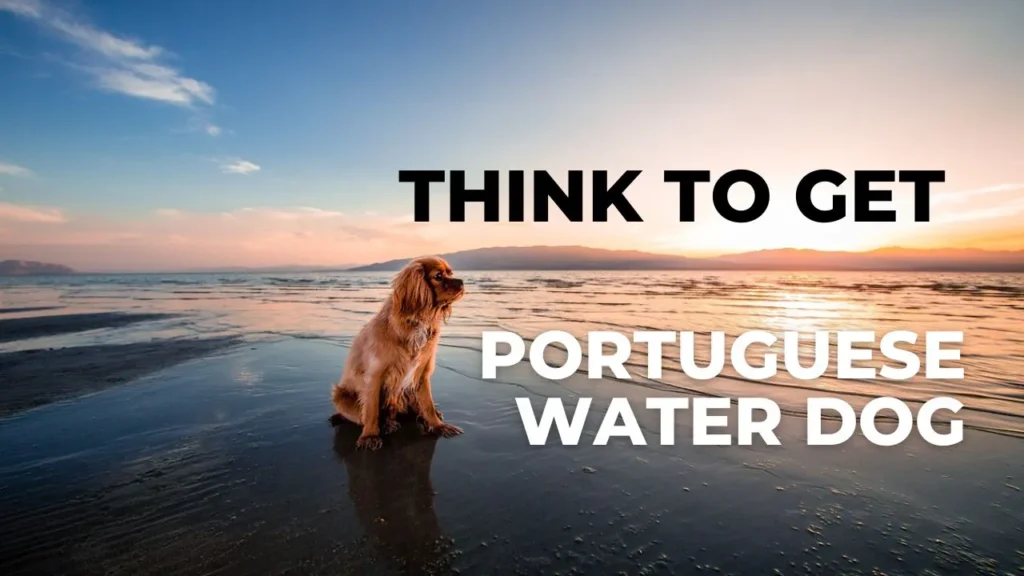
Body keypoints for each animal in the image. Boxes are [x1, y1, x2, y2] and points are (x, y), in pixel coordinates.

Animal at [331, 255, 464, 448]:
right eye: (438, 276)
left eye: (450, 274)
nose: (461, 282)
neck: (417, 322)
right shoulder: (374, 375)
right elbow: (371, 410)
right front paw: (370, 436)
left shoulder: (422, 374)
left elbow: (428, 404)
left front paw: (438, 425)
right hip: (341, 395)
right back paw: (387, 424)